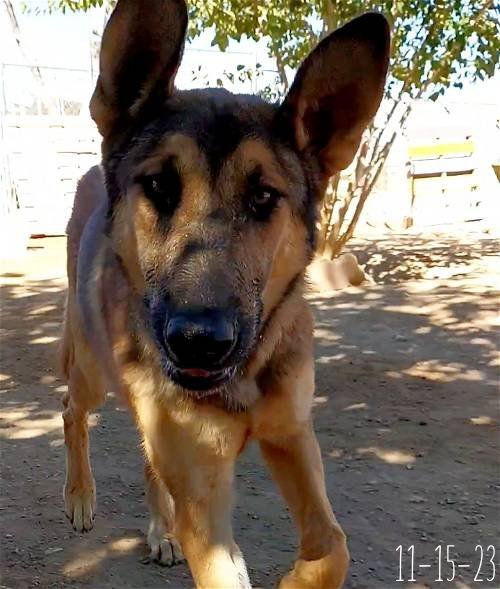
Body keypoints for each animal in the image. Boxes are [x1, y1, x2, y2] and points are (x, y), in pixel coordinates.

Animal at [61, 2, 390, 584]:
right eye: (159, 186)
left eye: (263, 197)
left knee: (148, 456)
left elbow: (334, 544)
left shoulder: (293, 434)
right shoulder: (204, 502)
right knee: (70, 411)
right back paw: (80, 496)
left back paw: (161, 530)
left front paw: (299, 577)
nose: (198, 341)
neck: (245, 379)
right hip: (91, 369)